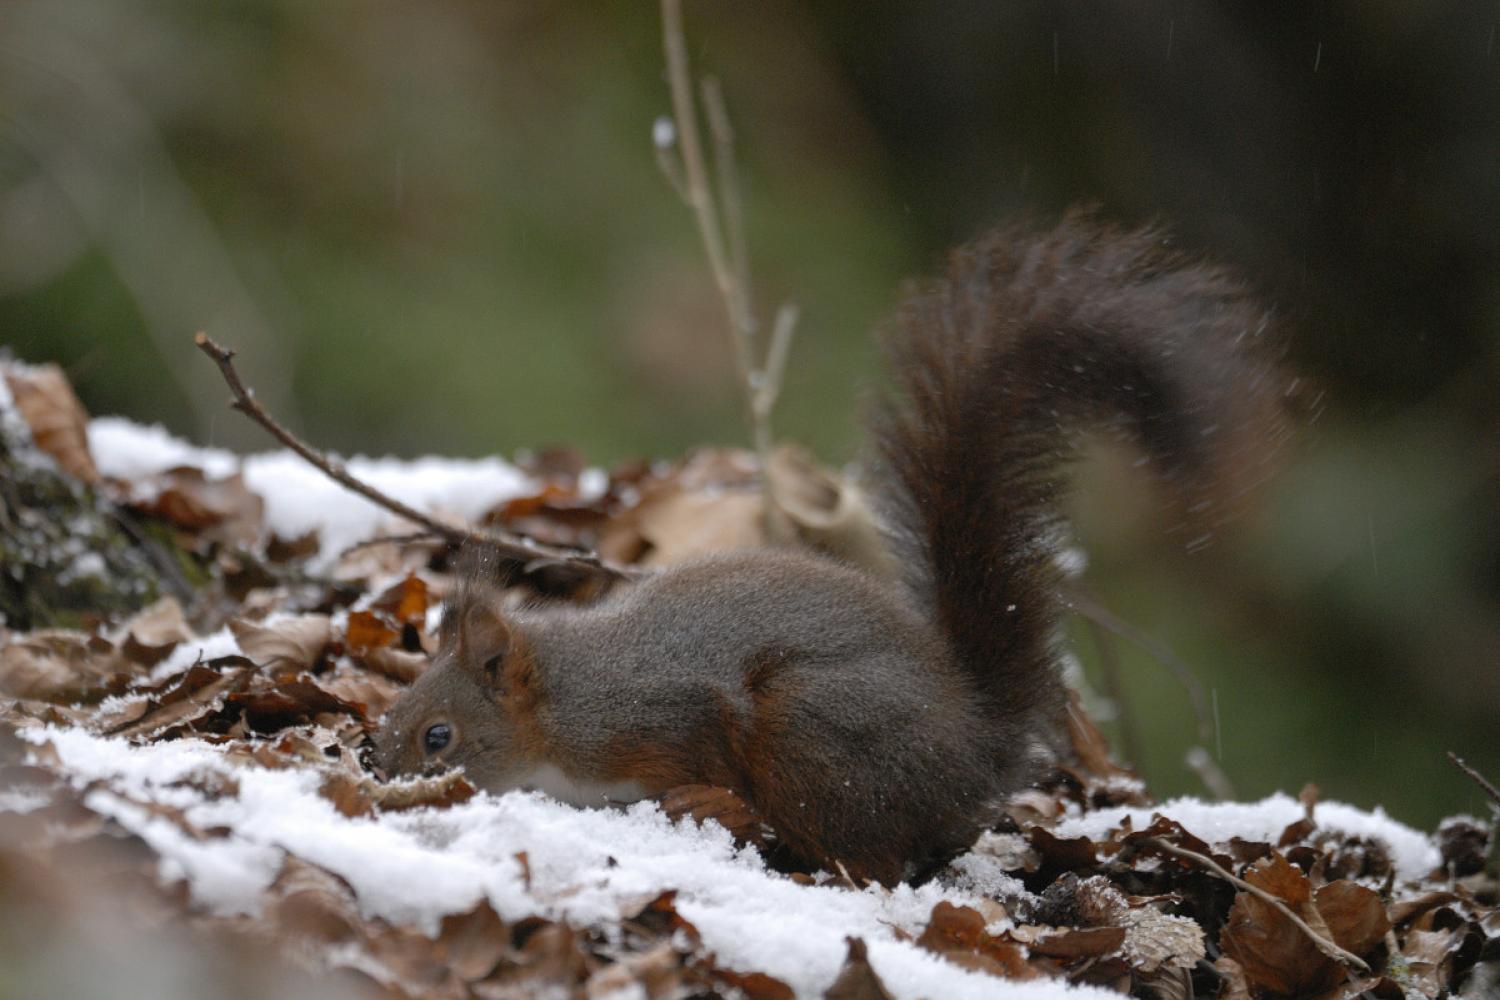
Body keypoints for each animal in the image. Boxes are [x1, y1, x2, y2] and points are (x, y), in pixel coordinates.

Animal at [372, 209, 1290, 881]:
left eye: (438, 738)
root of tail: (974, 746)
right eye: (395, 710)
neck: (564, 699)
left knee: (866, 854)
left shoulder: (665, 712)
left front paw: (708, 800)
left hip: (812, 728)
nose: (377, 777)